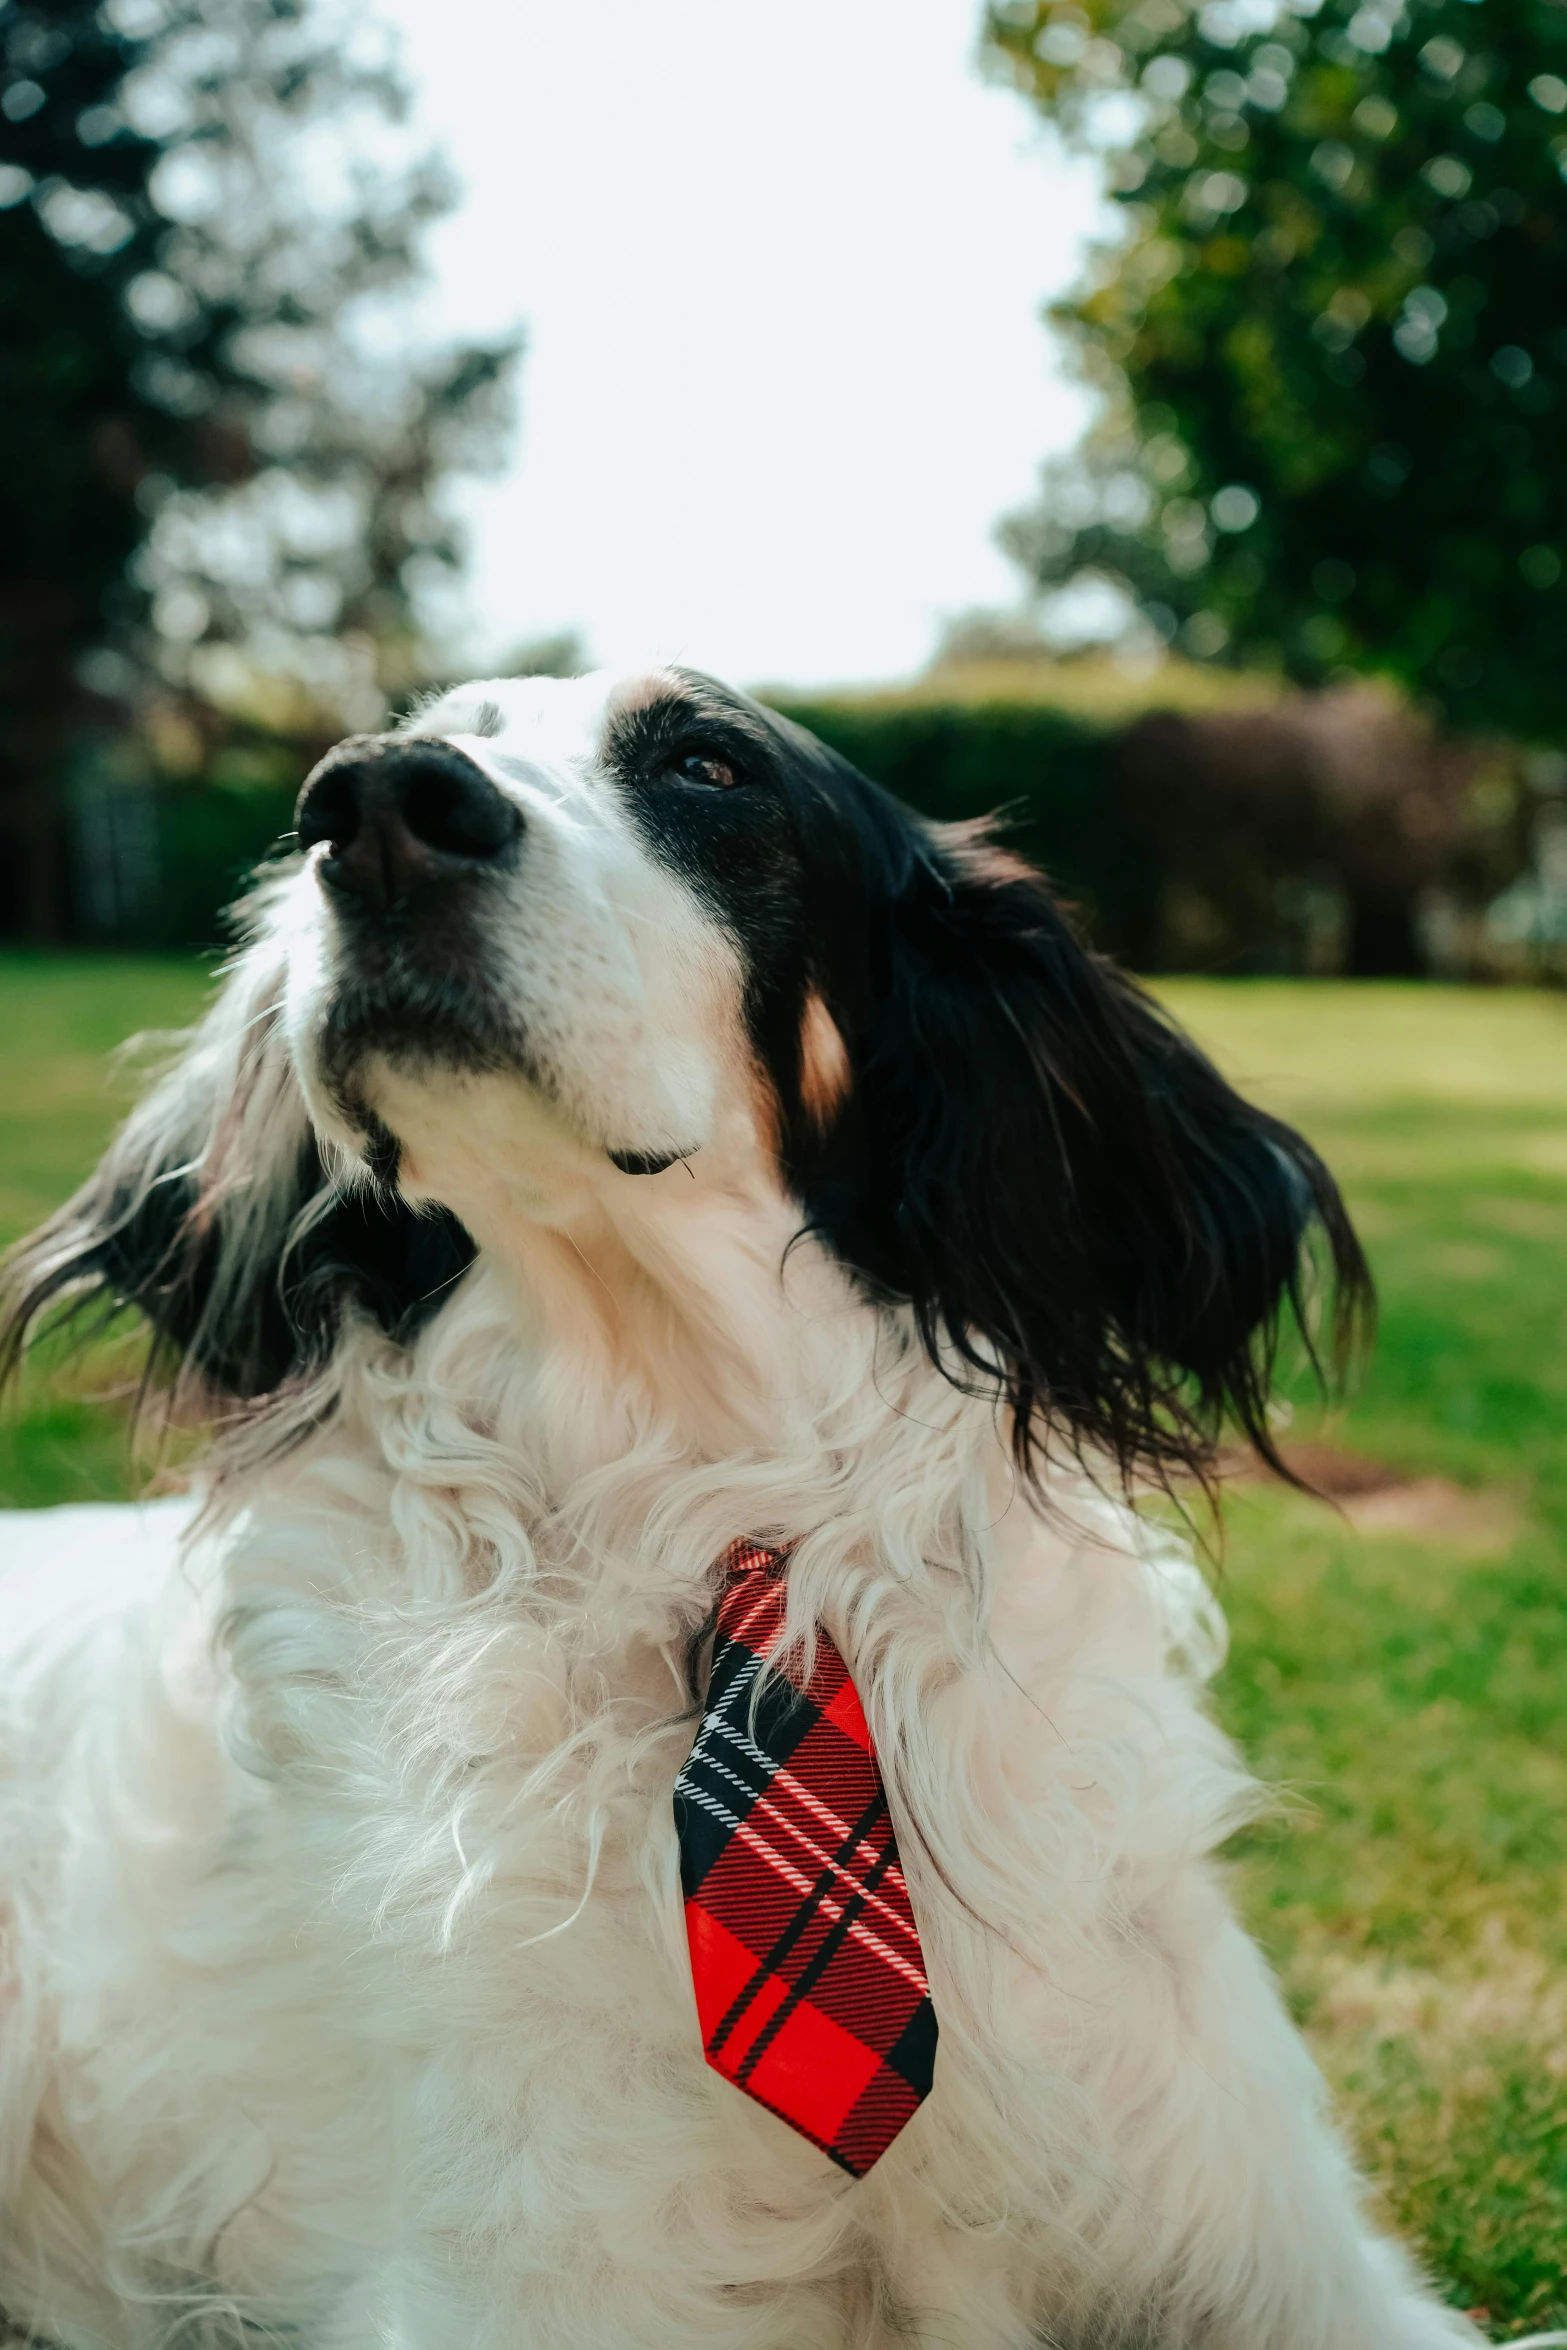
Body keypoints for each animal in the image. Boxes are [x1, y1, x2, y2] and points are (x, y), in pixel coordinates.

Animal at [0, 667, 1484, 2350]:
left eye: (709, 767)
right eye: (414, 746)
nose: (371, 806)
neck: (713, 1505)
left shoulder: (1297, 2258)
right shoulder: (521, 2283)